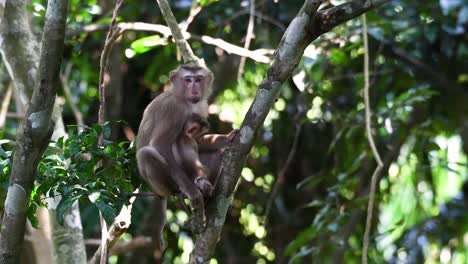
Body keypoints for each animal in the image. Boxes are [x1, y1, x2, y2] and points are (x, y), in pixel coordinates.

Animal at [137, 63, 236, 251]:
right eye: (187, 79)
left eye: (198, 79)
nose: (194, 89)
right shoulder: (173, 110)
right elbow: (160, 144)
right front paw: (192, 192)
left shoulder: (201, 106)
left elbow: (198, 140)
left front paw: (227, 138)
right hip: (163, 184)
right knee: (147, 153)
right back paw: (184, 189)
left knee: (213, 152)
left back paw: (204, 187)